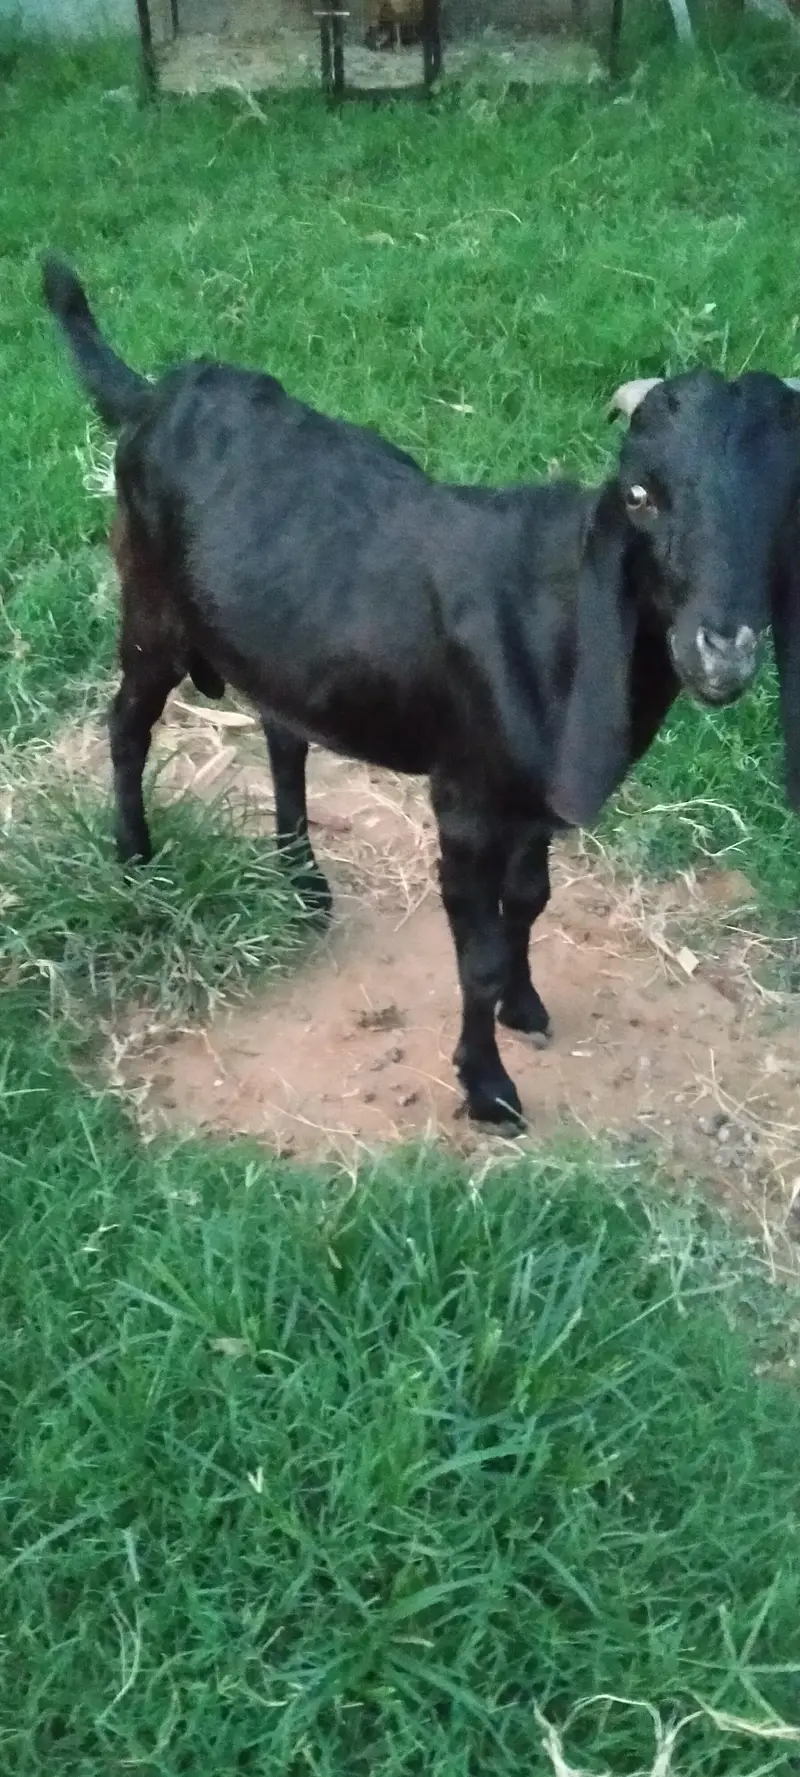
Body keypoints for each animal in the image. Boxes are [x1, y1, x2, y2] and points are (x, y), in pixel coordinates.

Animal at [43, 256, 800, 1125]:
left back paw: (303, 880)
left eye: (787, 500)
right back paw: (136, 859)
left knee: (283, 731)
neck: (557, 614)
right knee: (128, 721)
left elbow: (530, 899)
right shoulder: (465, 800)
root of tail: (152, 396)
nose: (722, 649)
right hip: (150, 607)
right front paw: (488, 1087)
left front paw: (526, 1007)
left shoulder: (533, 799)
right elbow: (478, 958)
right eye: (641, 495)